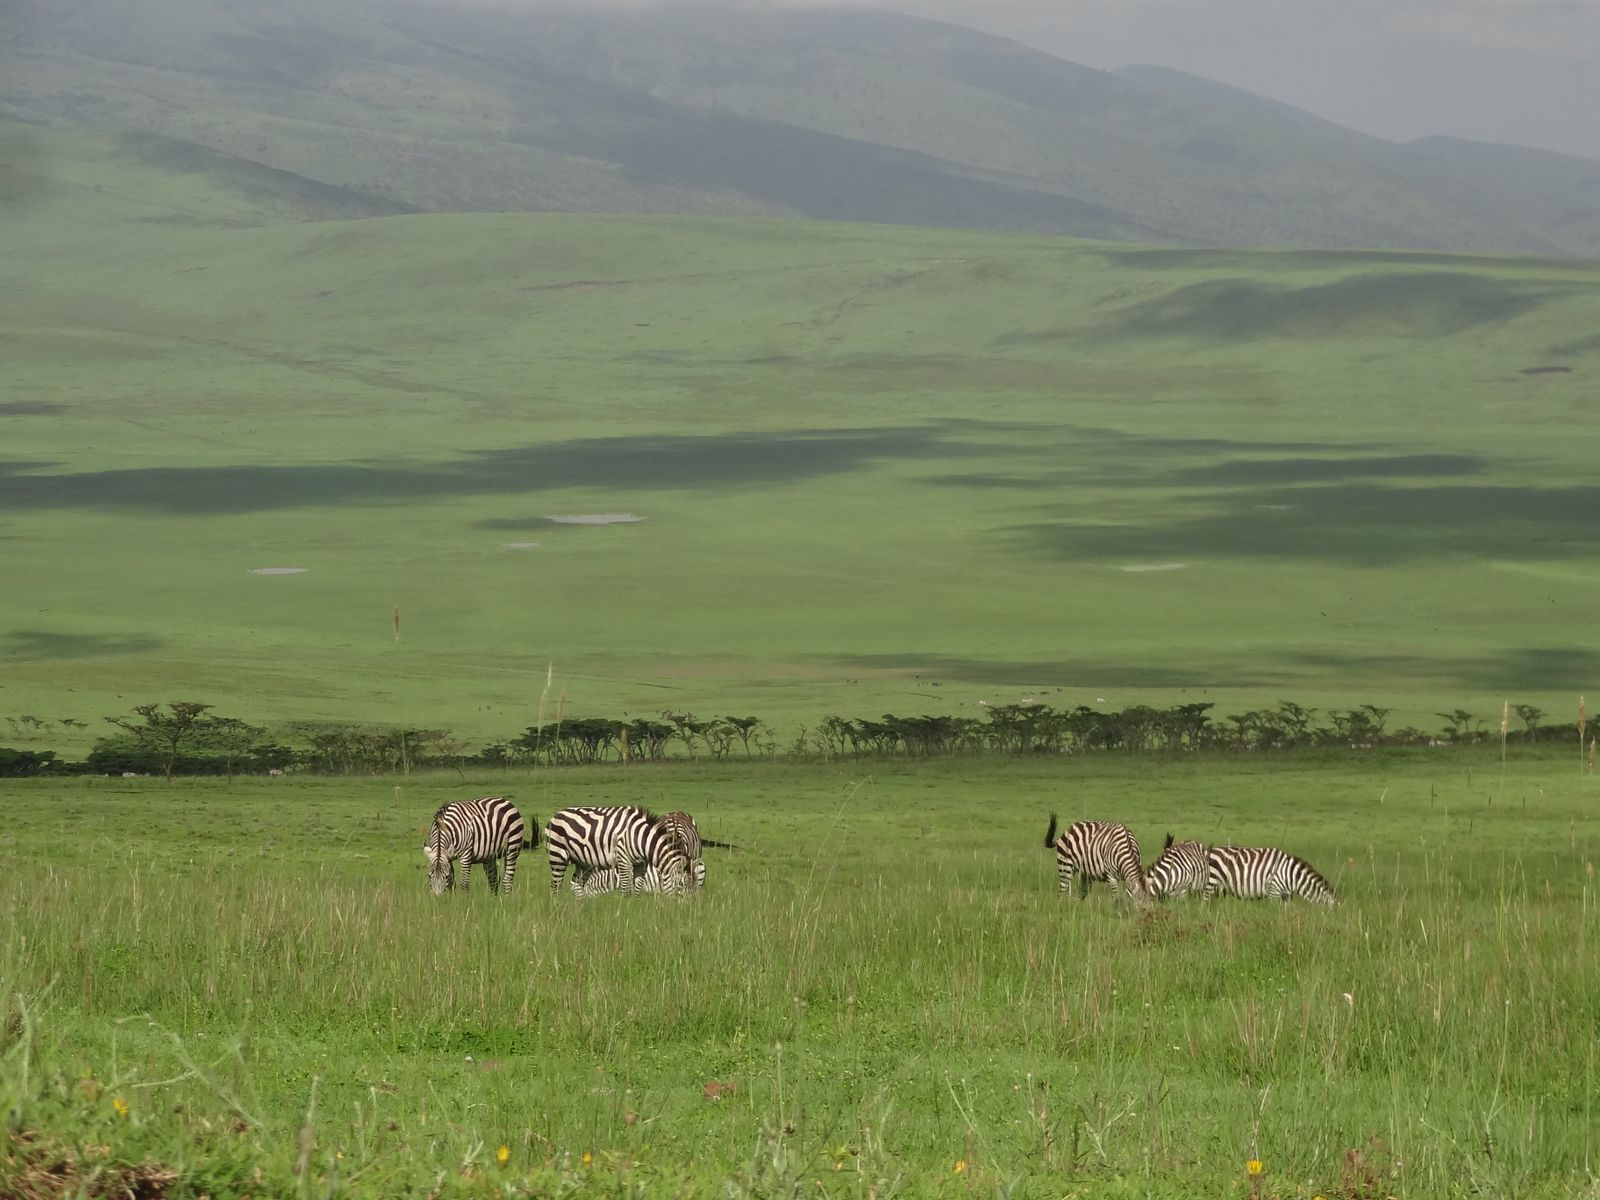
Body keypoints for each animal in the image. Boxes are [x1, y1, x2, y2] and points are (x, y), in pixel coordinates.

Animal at [546, 806, 691, 896]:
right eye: (682, 885)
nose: (684, 911)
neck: (640, 838)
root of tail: (556, 814)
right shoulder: (623, 858)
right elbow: (626, 887)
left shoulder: (640, 864)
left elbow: (637, 887)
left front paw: (635, 909)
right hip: (558, 856)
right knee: (555, 887)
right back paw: (557, 910)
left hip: (583, 862)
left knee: (576, 884)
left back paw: (580, 910)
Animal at [1203, 845, 1336, 905]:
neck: (1292, 876)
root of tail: (1211, 850)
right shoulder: (1274, 891)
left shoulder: (1287, 896)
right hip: (1211, 883)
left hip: (1219, 888)